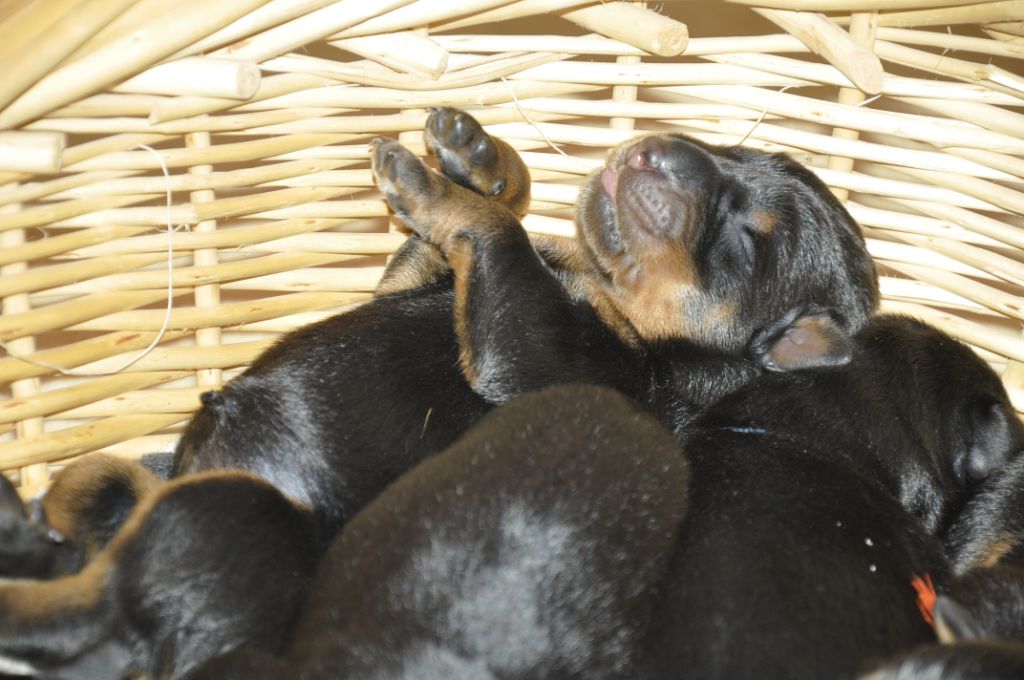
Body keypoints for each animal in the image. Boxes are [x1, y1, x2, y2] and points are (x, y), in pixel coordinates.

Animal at [172, 106, 876, 532]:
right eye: (730, 149)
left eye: (747, 242)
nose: (655, 150)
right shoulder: (412, 281)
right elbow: (495, 210)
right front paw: (475, 153)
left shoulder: (540, 356)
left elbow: (497, 229)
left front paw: (428, 183)